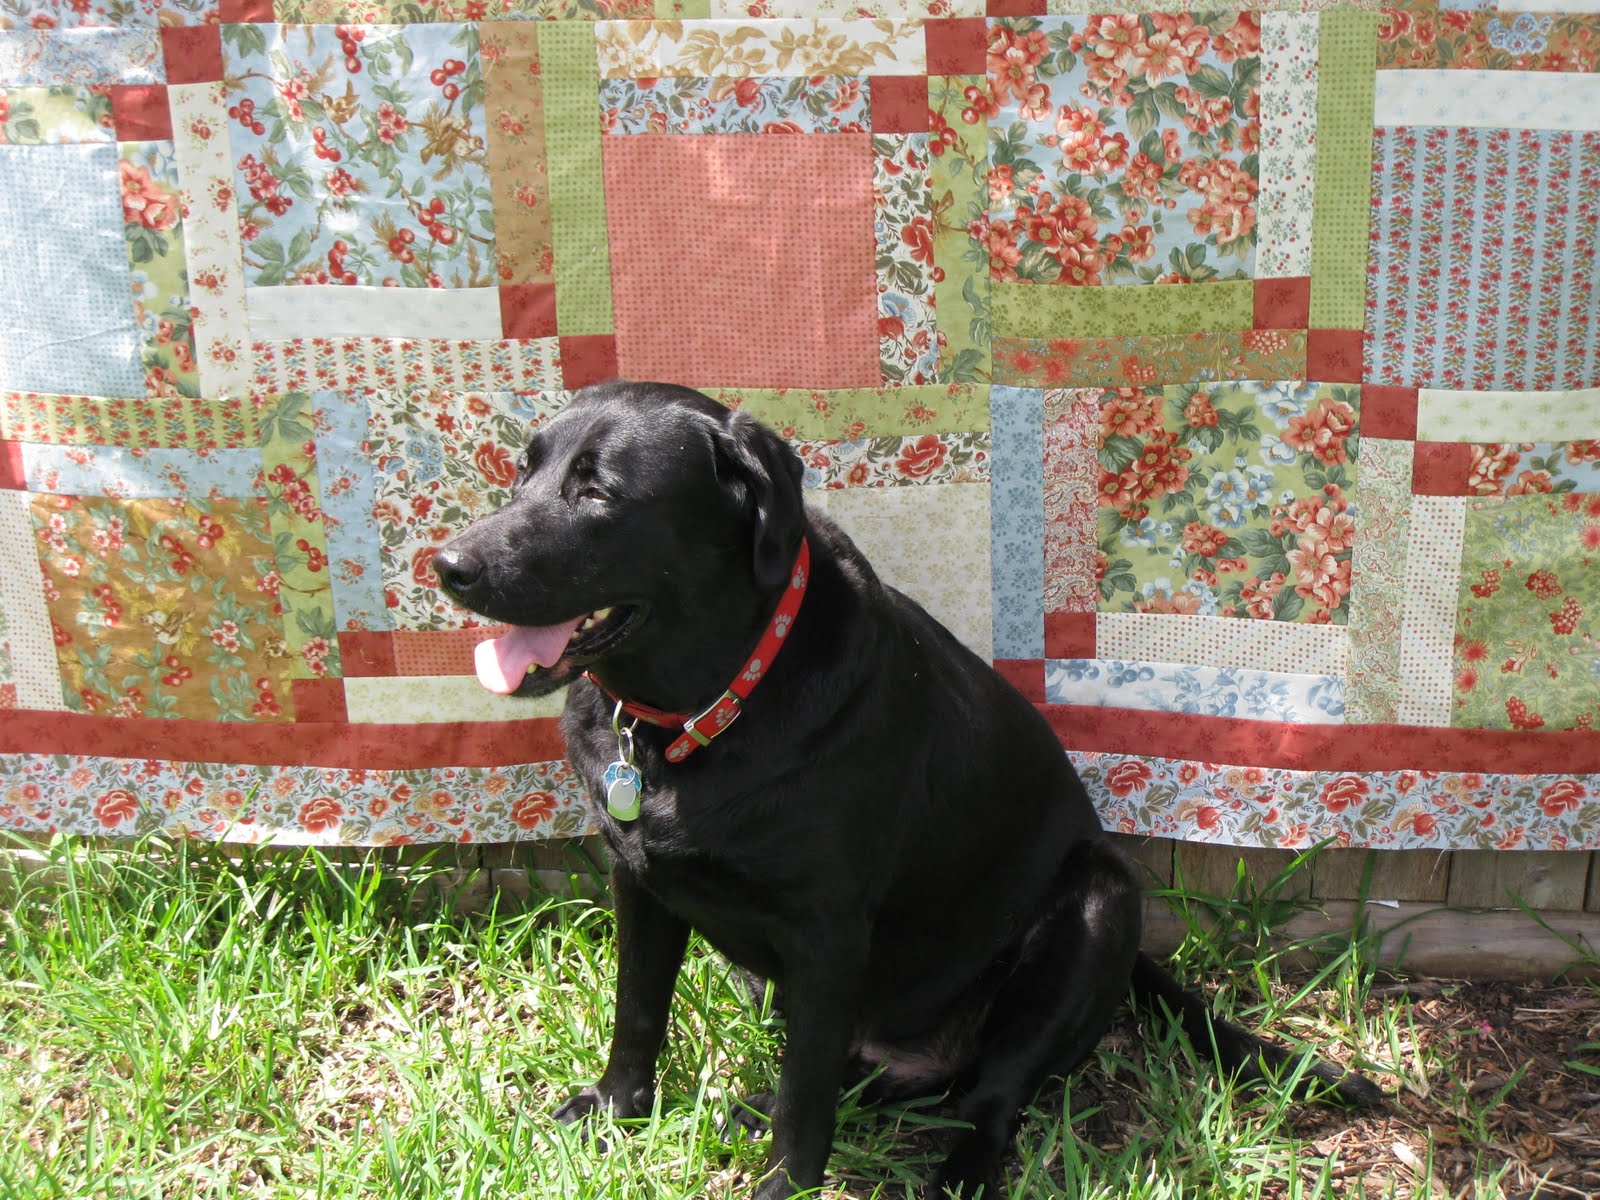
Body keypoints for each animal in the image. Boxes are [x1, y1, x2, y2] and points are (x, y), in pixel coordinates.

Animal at [434, 380, 1381, 1199]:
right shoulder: (638, 879)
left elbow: (806, 1097)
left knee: (987, 1096)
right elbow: (638, 1012)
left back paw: (953, 1172)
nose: (448, 565)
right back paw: (756, 1109)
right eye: (524, 470)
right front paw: (613, 1111)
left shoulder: (826, 930)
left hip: (1098, 902)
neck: (700, 710)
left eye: (599, 493)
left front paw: (783, 1186)